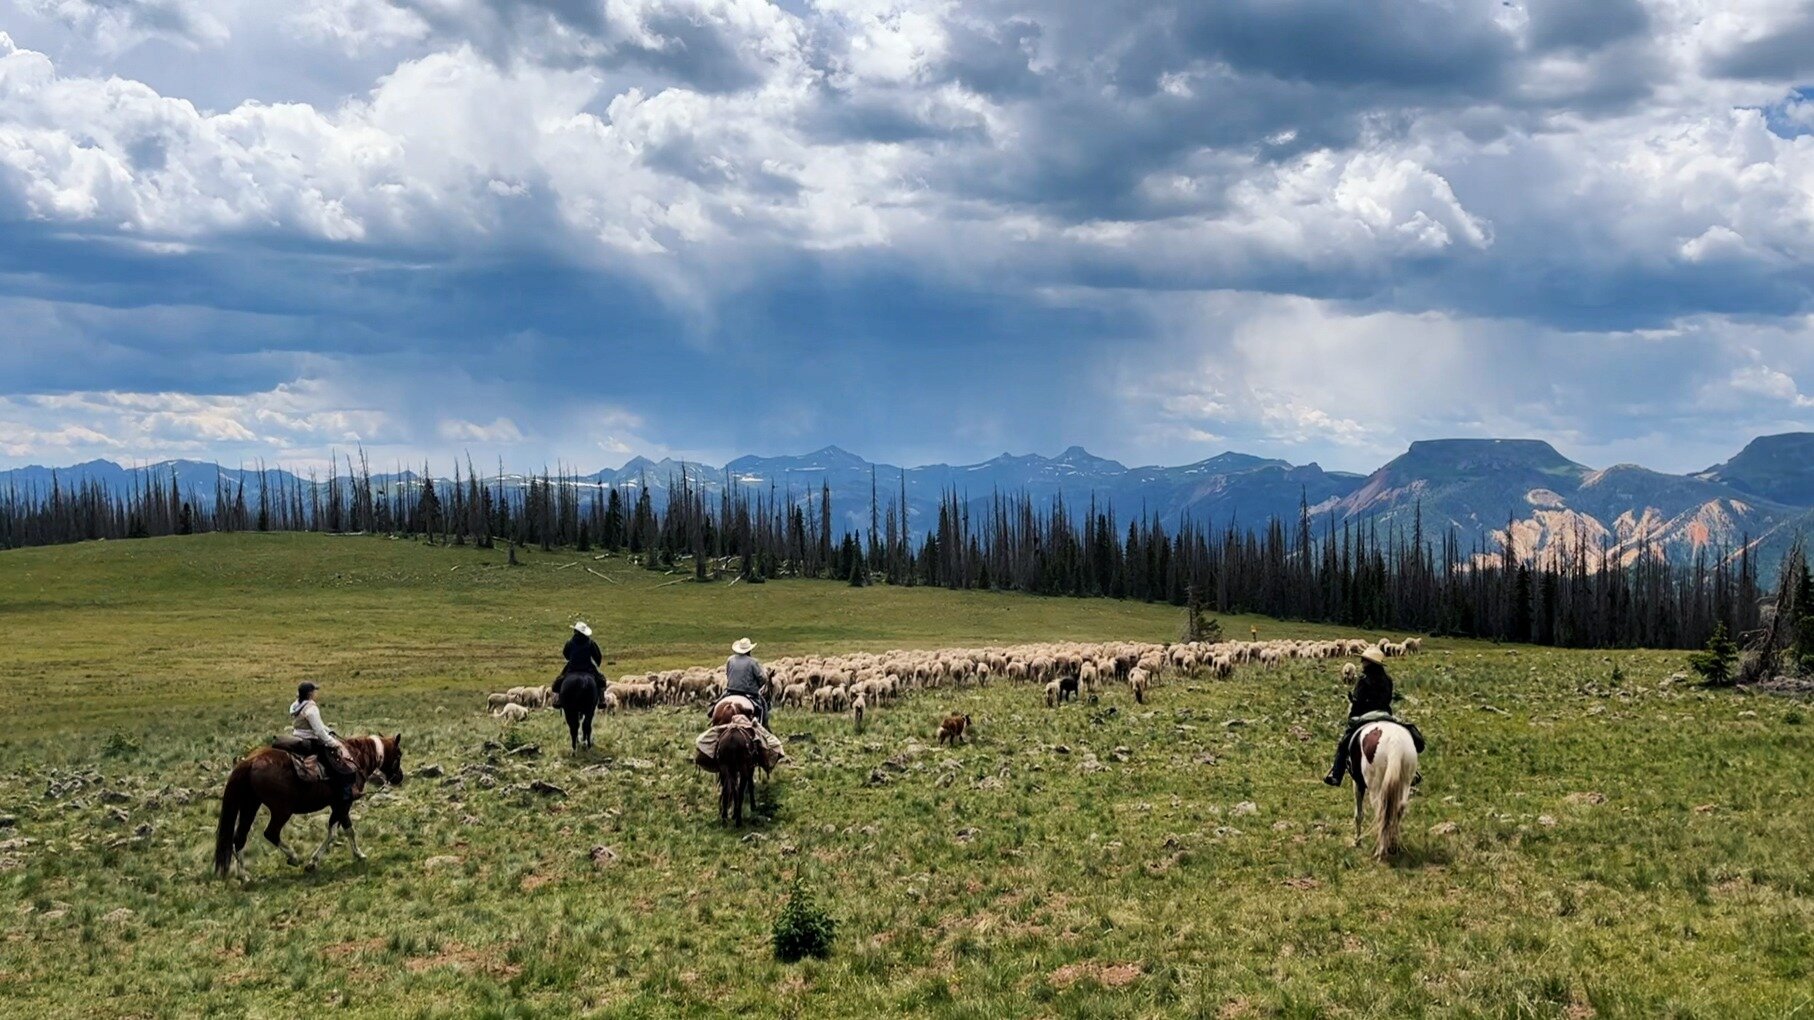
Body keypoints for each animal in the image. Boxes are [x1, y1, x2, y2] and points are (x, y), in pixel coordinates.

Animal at [212, 729, 404, 874]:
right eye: (399, 754)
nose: (399, 778)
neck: (355, 758)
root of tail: (249, 761)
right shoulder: (344, 804)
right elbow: (343, 831)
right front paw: (356, 855)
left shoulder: (337, 805)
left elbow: (337, 831)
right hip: (281, 810)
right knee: (270, 833)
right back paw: (293, 857)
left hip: (250, 805)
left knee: (239, 837)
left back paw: (244, 876)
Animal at [1349, 715, 1414, 856]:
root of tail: (1395, 743)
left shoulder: (1357, 783)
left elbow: (1358, 814)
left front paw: (1357, 841)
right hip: (1405, 781)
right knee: (1399, 807)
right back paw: (1393, 845)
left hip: (1375, 785)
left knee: (1381, 811)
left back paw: (1381, 849)